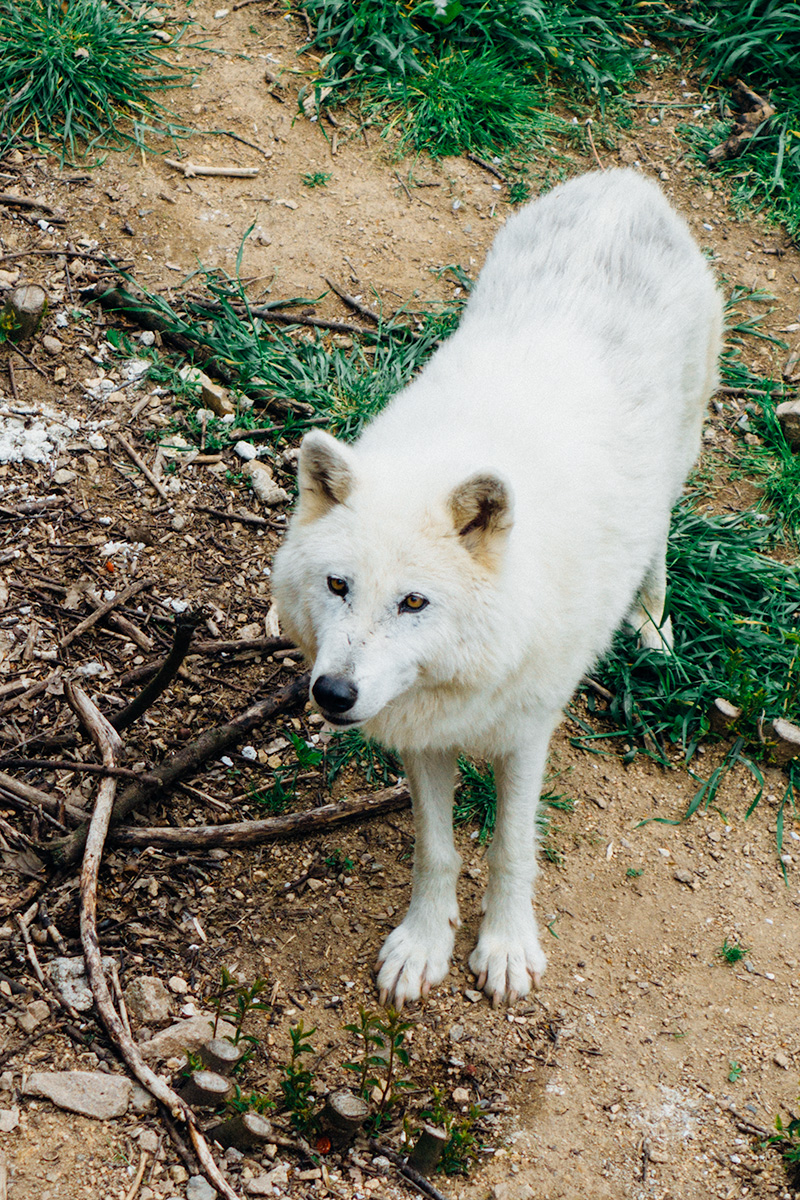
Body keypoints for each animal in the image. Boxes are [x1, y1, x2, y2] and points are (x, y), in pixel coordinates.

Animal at [272, 169, 724, 1008]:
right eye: (338, 585)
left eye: (414, 602)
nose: (334, 694)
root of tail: (625, 183)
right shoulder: (421, 733)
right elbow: (438, 849)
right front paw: (423, 946)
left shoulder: (527, 733)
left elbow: (511, 848)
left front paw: (508, 948)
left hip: (681, 455)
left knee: (659, 535)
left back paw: (651, 625)